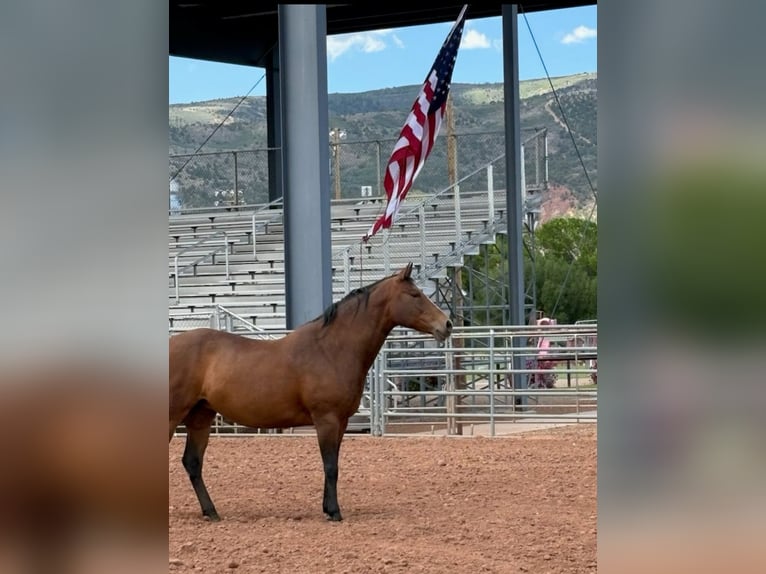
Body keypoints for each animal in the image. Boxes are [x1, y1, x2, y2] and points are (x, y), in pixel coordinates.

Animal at [169, 262, 452, 522]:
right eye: (415, 295)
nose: (447, 324)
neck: (331, 349)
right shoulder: (326, 419)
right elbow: (330, 466)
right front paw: (335, 512)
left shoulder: (341, 422)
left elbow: (333, 463)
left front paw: (327, 508)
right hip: (174, 417)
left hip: (200, 417)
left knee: (192, 463)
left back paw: (211, 511)